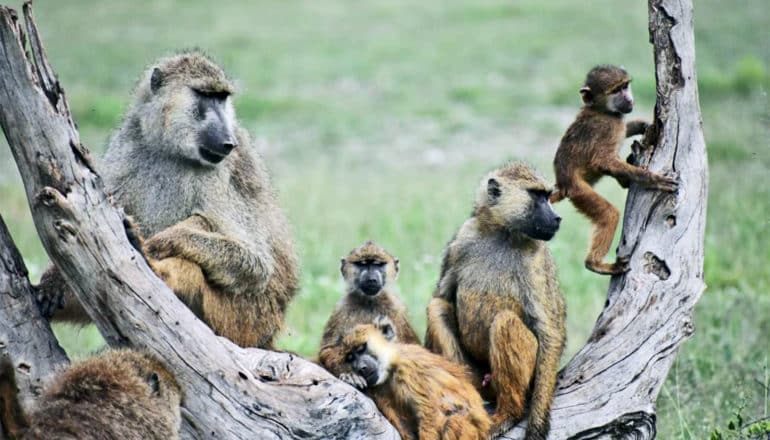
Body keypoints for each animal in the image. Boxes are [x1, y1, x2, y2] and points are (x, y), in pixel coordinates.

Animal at [35, 50, 299, 348]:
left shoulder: (214, 174)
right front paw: (52, 280)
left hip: (247, 318)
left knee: (199, 233)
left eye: (221, 98)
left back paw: (152, 263)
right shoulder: (129, 147)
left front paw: (157, 244)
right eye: (205, 95)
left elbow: (256, 263)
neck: (169, 149)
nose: (228, 142)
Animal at [318, 241, 419, 388]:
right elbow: (327, 350)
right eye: (362, 264)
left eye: (378, 264)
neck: (369, 302)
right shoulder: (341, 309)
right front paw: (350, 374)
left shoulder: (397, 308)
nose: (371, 279)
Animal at [339, 324, 490, 440]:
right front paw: (352, 378)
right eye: (351, 358)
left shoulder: (407, 370)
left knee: (453, 420)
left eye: (361, 349)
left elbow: (429, 413)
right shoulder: (379, 387)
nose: (361, 368)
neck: (392, 365)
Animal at [424, 162, 565, 440]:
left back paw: (509, 413)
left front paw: (536, 427)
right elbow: (440, 297)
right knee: (437, 309)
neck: (502, 233)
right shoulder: (462, 240)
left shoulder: (537, 262)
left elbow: (550, 331)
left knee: (505, 322)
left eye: (547, 195)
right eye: (537, 195)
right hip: (477, 377)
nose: (556, 219)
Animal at [550, 64, 678, 275]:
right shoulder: (607, 127)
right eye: (616, 90)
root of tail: (562, 184)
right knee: (609, 214)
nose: (629, 99)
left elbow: (624, 132)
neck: (602, 110)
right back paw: (596, 264)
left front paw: (645, 126)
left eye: (625, 86)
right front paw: (655, 180)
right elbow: (603, 161)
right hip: (579, 191)